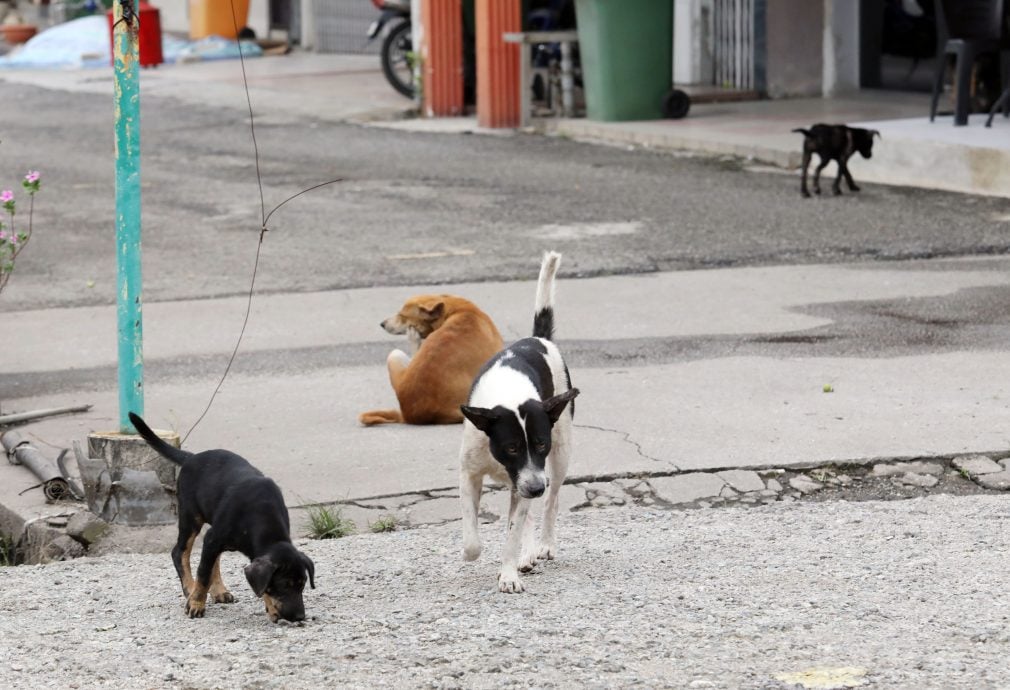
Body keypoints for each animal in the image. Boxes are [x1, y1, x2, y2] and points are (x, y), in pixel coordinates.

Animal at [128, 412, 313, 622]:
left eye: (302, 585)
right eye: (284, 585)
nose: (300, 617)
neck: (260, 517)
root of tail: (192, 457)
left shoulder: (218, 541)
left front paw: (271, 608)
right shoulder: (213, 538)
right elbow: (203, 574)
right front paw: (196, 604)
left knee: (211, 560)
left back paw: (219, 591)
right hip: (190, 518)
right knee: (179, 552)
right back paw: (190, 589)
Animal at [363, 292, 505, 426]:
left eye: (402, 316)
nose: (382, 324)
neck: (454, 310)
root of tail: (407, 415)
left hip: (394, 355)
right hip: (396, 353)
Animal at [456, 252, 577, 594]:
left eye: (540, 443)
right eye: (510, 447)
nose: (536, 488)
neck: (508, 395)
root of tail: (539, 337)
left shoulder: (531, 474)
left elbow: (512, 532)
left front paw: (508, 574)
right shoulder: (470, 474)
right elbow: (472, 538)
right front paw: (474, 553)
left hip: (560, 456)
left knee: (551, 502)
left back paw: (543, 546)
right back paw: (529, 552)